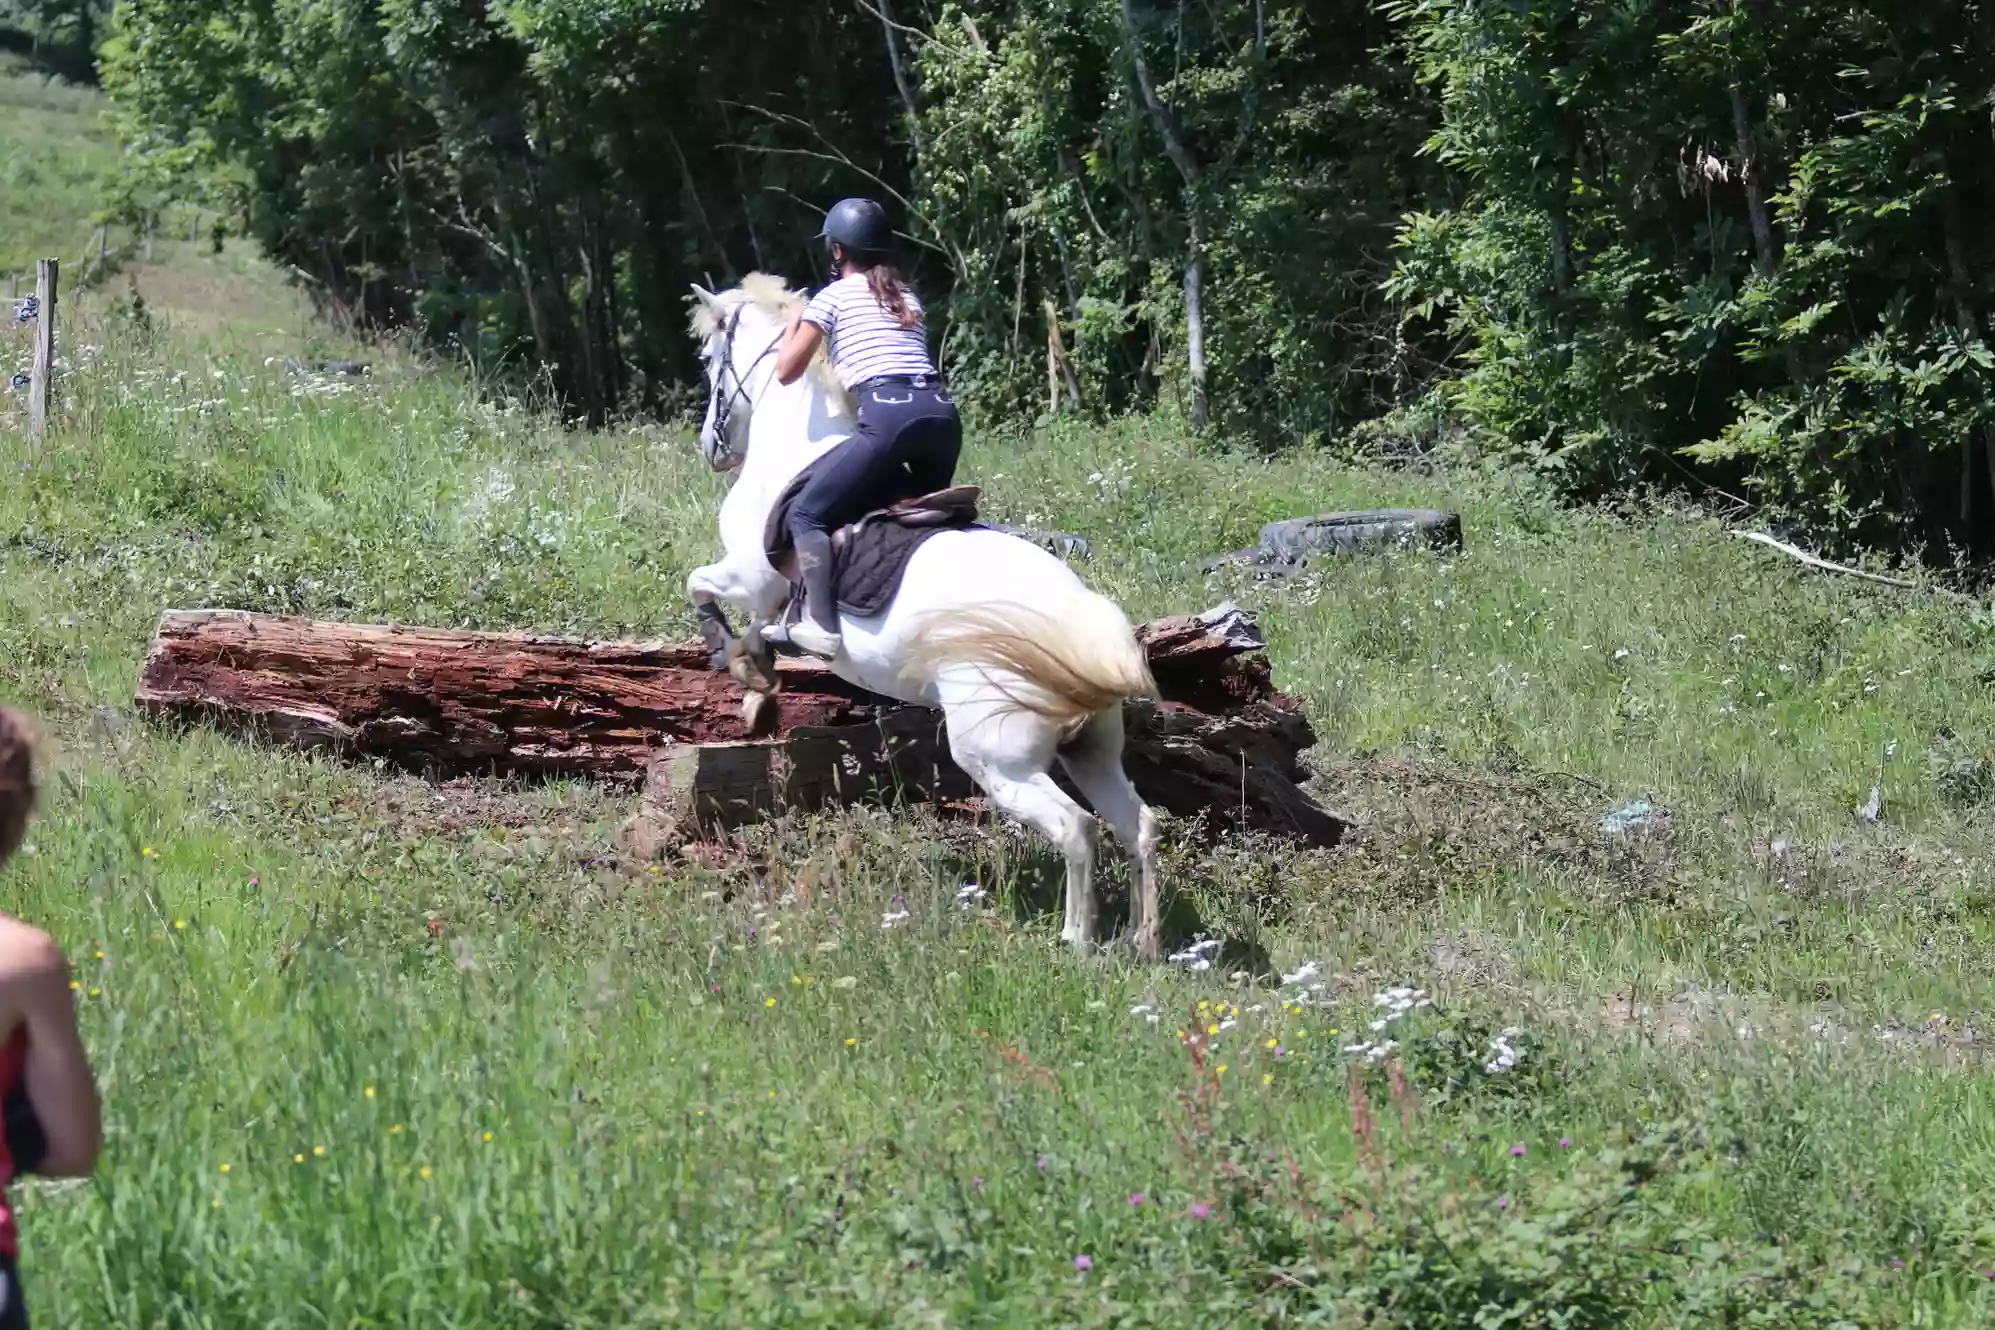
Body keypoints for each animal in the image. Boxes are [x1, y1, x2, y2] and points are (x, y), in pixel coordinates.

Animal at [682, 273, 1165, 957]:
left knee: (1076, 828)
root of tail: (1086, 640)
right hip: (1092, 748)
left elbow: (700, 585)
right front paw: (758, 676)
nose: (712, 447)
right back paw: (1143, 943)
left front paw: (735, 659)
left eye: (708, 360)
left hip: (1001, 757)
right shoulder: (768, 594)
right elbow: (759, 630)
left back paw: (1076, 941)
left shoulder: (750, 575)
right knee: (1137, 826)